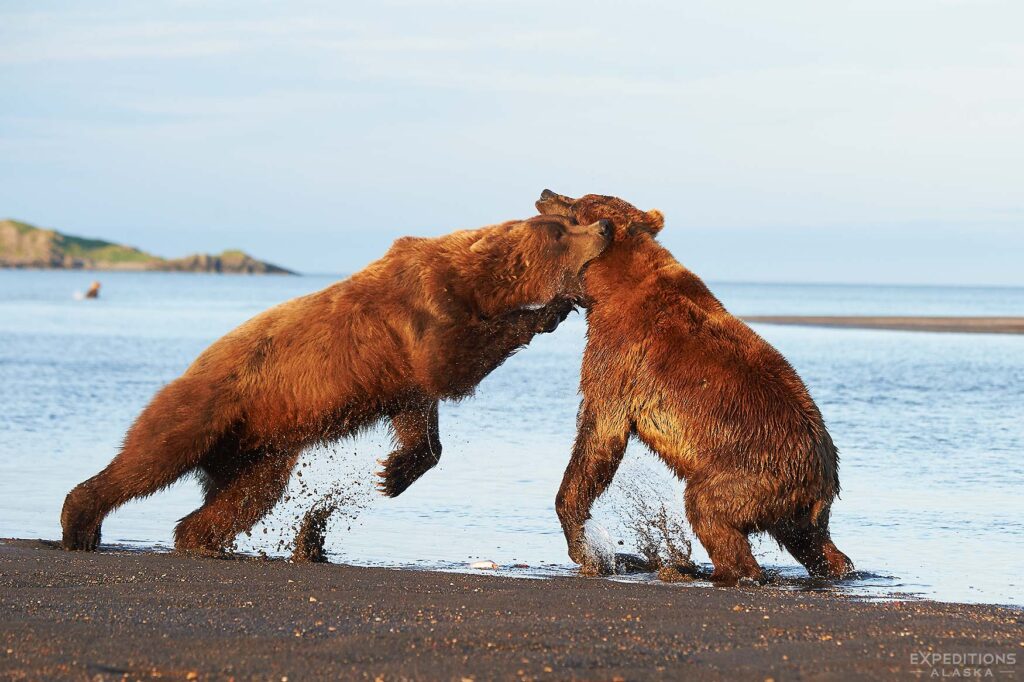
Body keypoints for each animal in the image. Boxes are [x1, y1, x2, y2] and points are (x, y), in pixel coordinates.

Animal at [61, 214, 613, 554]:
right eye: (561, 229)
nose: (605, 225)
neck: (475, 281)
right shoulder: (422, 311)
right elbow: (453, 363)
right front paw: (550, 309)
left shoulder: (400, 369)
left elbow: (420, 419)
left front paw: (393, 473)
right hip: (208, 404)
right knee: (151, 456)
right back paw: (80, 522)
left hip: (262, 449)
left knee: (247, 496)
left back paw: (200, 538)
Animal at [535, 190, 853, 585]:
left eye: (576, 203)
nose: (545, 193)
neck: (607, 287)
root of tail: (822, 475)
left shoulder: (619, 354)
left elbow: (600, 432)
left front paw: (579, 536)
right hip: (797, 506)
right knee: (815, 542)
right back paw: (839, 568)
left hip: (748, 470)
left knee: (709, 511)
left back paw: (711, 571)